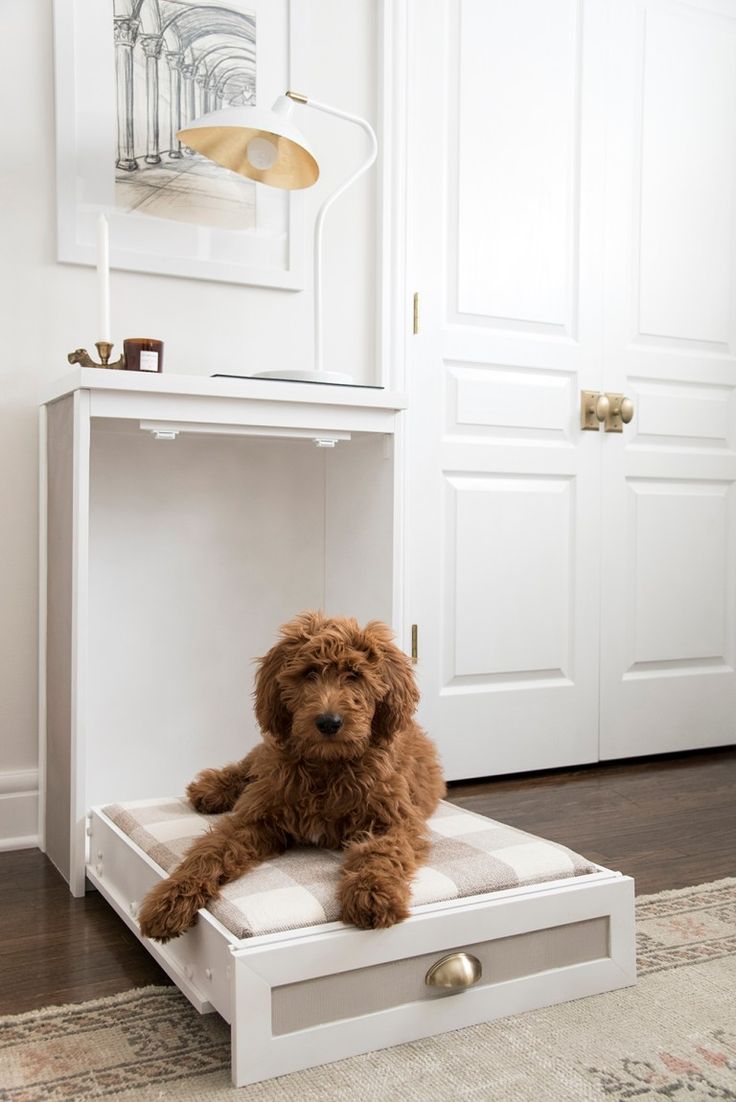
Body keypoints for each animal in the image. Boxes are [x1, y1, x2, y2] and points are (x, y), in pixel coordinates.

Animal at [139, 612, 449, 938]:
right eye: (309, 673)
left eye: (354, 675)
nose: (328, 722)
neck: (327, 765)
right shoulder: (255, 815)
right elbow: (211, 850)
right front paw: (171, 898)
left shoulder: (394, 821)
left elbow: (380, 853)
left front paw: (372, 893)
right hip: (266, 754)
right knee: (247, 768)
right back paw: (210, 790)